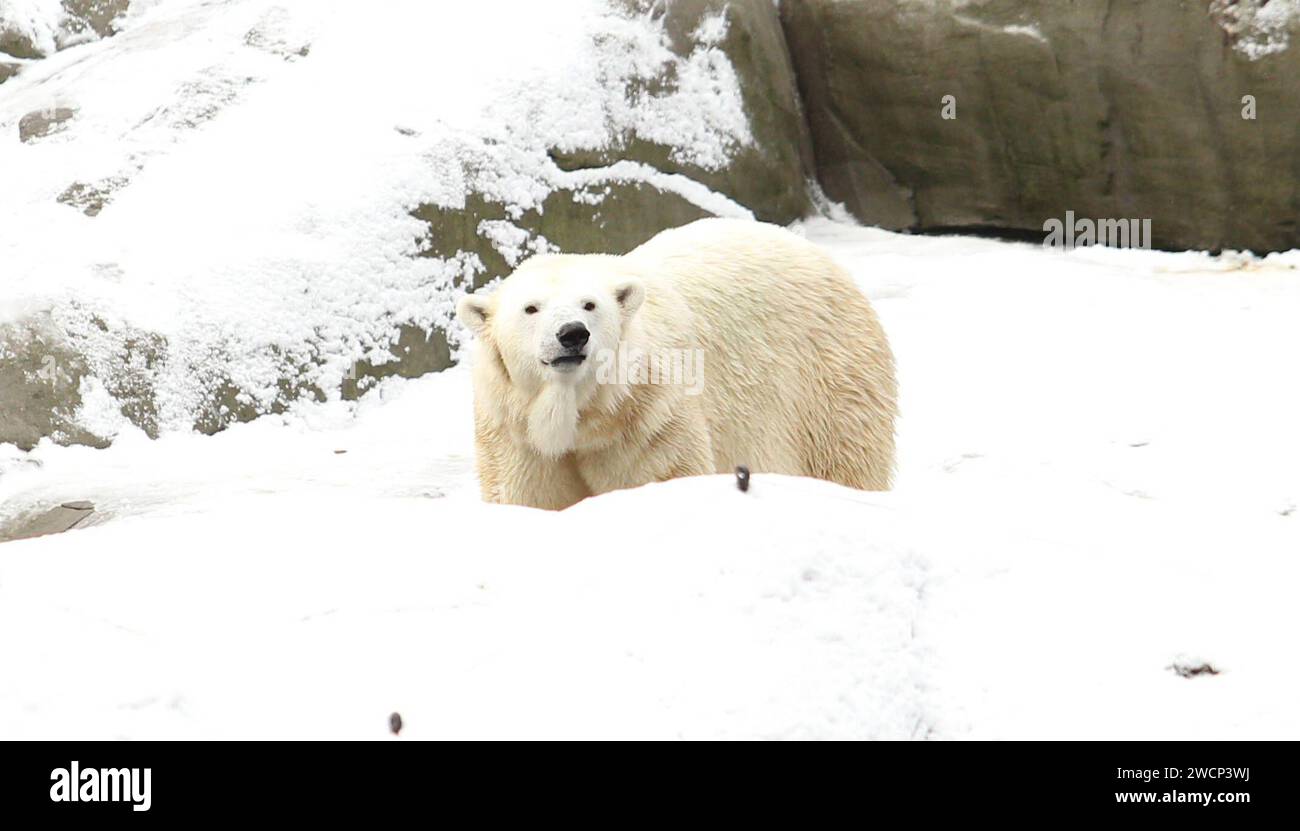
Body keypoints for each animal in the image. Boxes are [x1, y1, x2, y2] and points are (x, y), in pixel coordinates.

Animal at [454, 218, 894, 509]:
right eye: (531, 308)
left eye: (589, 304)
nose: (573, 334)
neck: (585, 413)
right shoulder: (515, 430)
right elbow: (529, 496)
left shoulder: (647, 418)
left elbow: (662, 478)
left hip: (826, 380)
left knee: (846, 459)